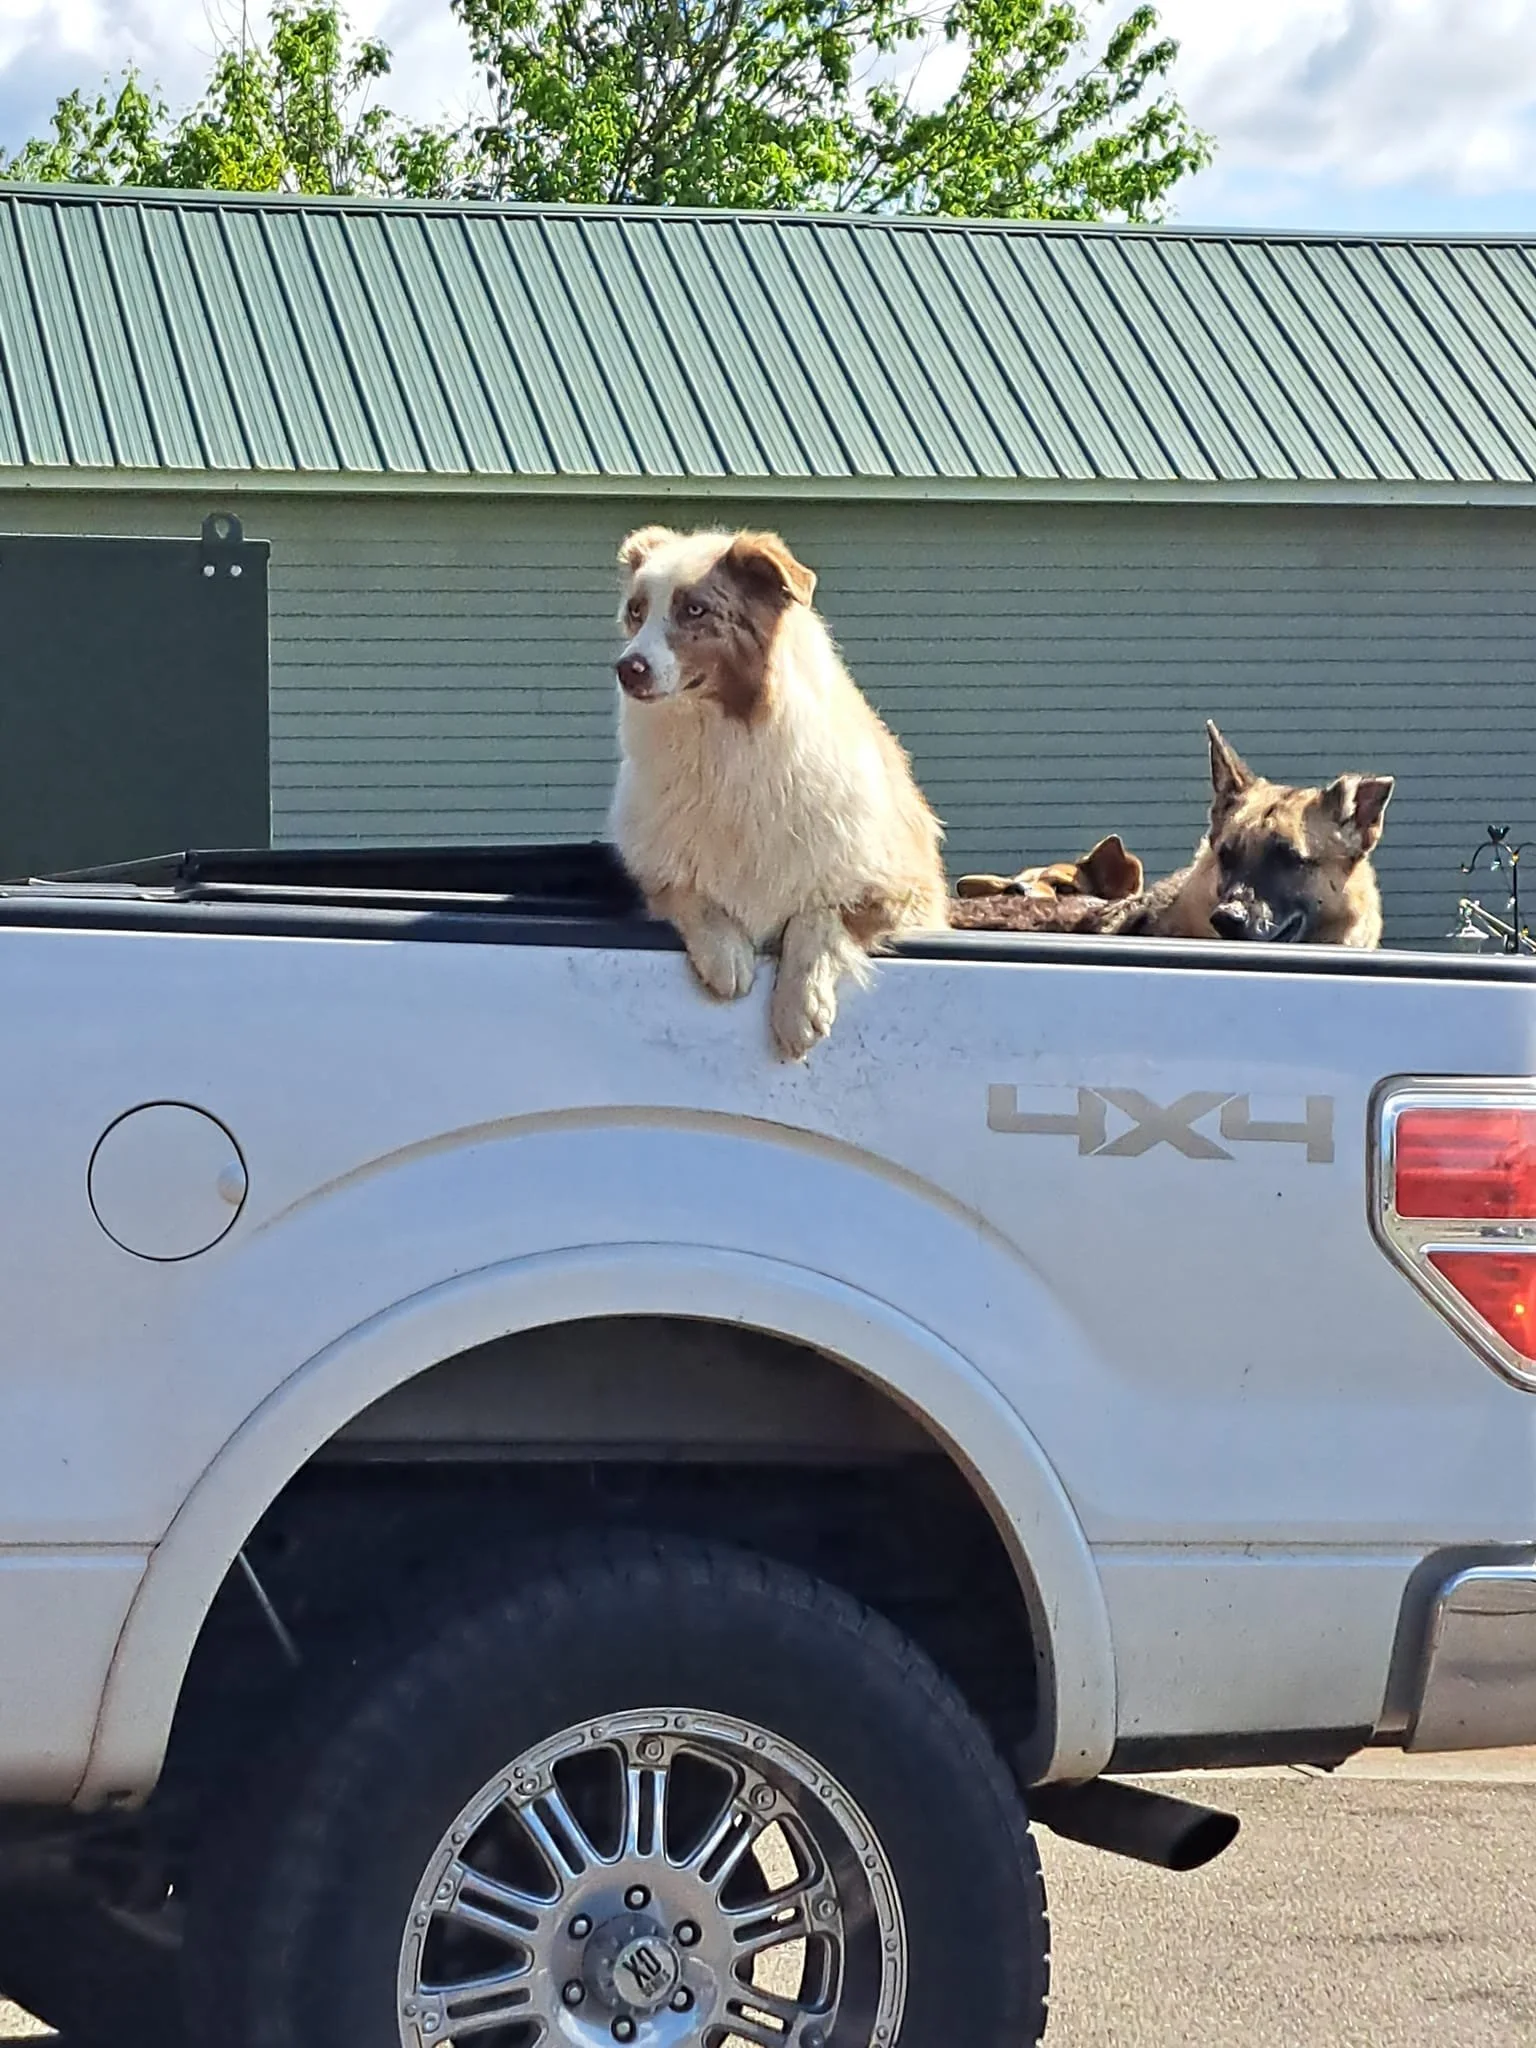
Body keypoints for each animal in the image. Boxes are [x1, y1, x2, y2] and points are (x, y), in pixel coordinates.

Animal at [608, 526, 947, 1058]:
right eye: (636, 611)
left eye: (695, 610)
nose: (628, 668)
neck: (722, 743)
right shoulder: (657, 871)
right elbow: (688, 892)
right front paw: (726, 954)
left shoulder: (903, 889)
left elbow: (819, 914)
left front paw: (800, 1005)